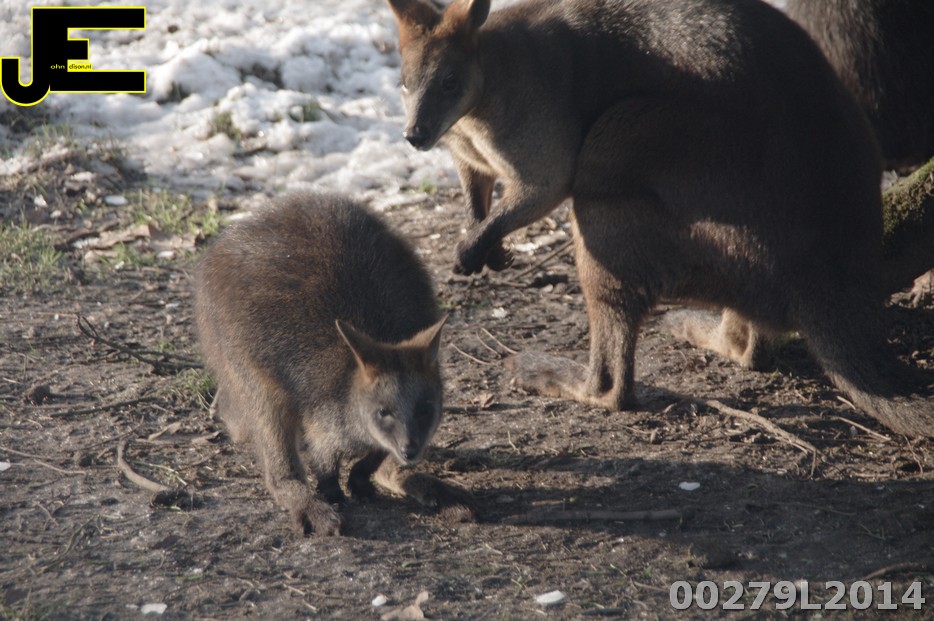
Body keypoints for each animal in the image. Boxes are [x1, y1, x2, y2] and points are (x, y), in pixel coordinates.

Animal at [194, 192, 474, 536]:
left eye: (425, 409)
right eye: (383, 411)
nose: (410, 450)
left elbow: (375, 457)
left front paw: (361, 480)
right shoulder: (324, 419)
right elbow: (324, 460)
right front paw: (334, 495)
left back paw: (439, 493)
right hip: (245, 365)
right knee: (276, 463)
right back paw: (315, 510)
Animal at [389, 0, 934, 436]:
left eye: (450, 82)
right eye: (403, 84)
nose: (414, 136)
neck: (484, 89)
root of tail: (830, 284)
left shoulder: (540, 140)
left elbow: (540, 190)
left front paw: (471, 252)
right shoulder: (467, 155)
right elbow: (478, 194)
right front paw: (487, 249)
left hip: (624, 149)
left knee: (613, 386)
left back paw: (542, 372)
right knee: (752, 349)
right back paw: (695, 327)